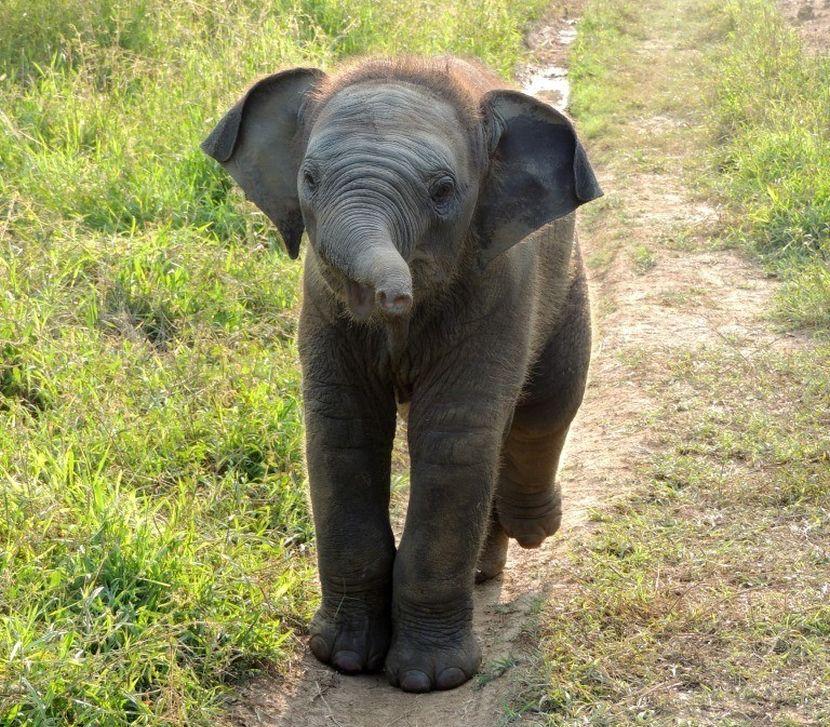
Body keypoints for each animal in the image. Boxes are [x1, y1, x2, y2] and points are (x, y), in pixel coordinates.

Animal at [202, 57, 604, 692]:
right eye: (309, 179)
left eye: (443, 192)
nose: (393, 297)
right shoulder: (321, 301)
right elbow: (343, 430)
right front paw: (342, 658)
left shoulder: (499, 288)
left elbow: (452, 439)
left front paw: (427, 680)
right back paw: (486, 570)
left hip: (567, 288)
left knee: (547, 407)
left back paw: (531, 528)